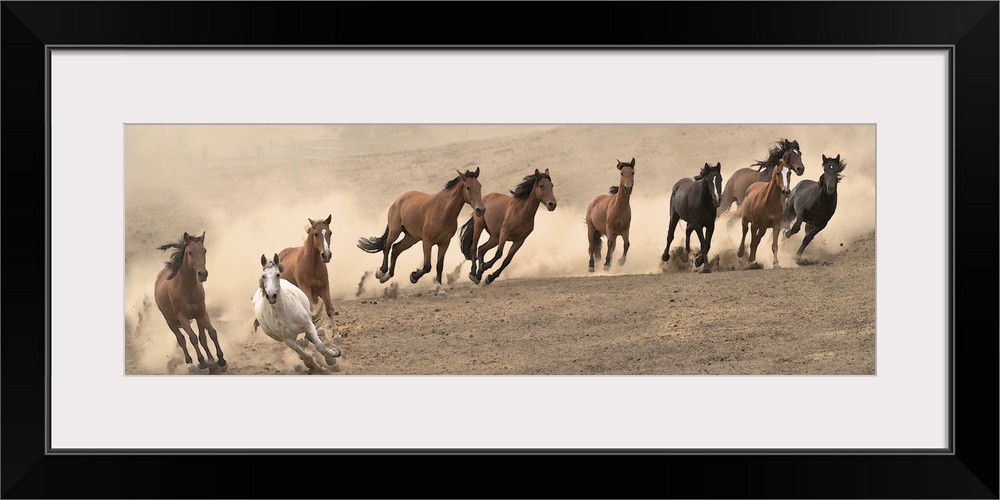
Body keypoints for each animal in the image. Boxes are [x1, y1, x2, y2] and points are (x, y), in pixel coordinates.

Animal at [153, 231, 226, 374]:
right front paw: (202, 364)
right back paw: (191, 364)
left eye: (204, 251)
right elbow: (192, 338)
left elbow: (211, 333)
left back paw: (211, 360)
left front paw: (221, 361)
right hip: (170, 321)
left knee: (202, 337)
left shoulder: (201, 312)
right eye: (190, 252)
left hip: (196, 318)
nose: (202, 274)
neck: (188, 289)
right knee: (181, 339)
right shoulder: (183, 318)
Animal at [357, 167, 486, 297]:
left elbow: (439, 266)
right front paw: (413, 276)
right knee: (387, 246)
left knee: (396, 248)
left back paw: (387, 276)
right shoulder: (427, 242)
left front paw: (440, 289)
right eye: (468, 187)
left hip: (411, 238)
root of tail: (399, 199)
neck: (443, 212)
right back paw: (381, 273)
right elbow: (427, 266)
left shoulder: (444, 243)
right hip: (395, 231)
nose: (480, 209)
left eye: (480, 186)